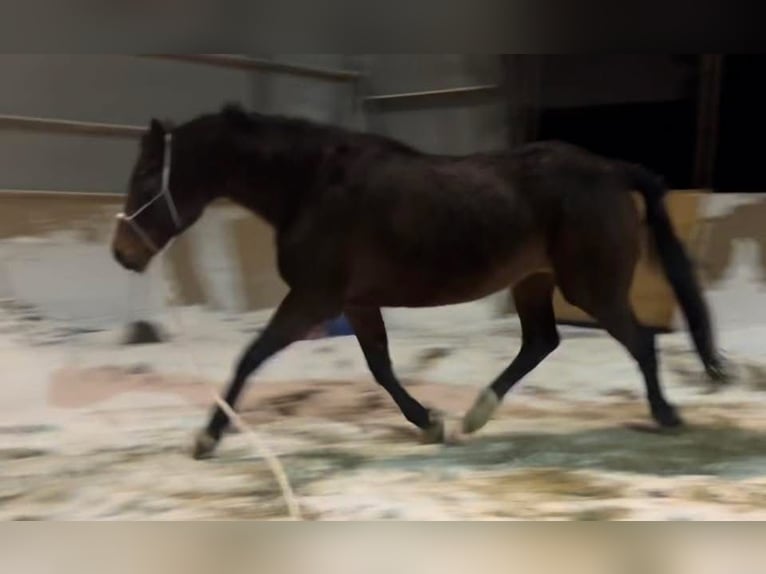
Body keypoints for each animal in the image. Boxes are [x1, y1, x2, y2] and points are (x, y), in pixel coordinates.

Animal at [112, 103, 727, 460]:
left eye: (143, 176)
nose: (122, 254)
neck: (310, 186)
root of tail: (613, 170)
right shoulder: (355, 303)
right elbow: (380, 366)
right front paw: (430, 422)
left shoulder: (314, 298)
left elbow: (250, 357)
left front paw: (206, 438)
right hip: (533, 281)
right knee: (541, 341)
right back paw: (475, 416)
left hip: (591, 287)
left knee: (639, 340)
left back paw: (666, 416)